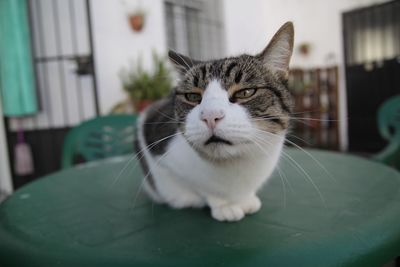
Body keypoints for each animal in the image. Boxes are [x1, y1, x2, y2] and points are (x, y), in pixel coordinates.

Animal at [134, 21, 294, 222]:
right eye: (193, 96)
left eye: (245, 92)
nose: (210, 116)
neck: (233, 165)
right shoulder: (152, 134)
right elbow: (202, 188)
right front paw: (224, 205)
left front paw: (246, 199)